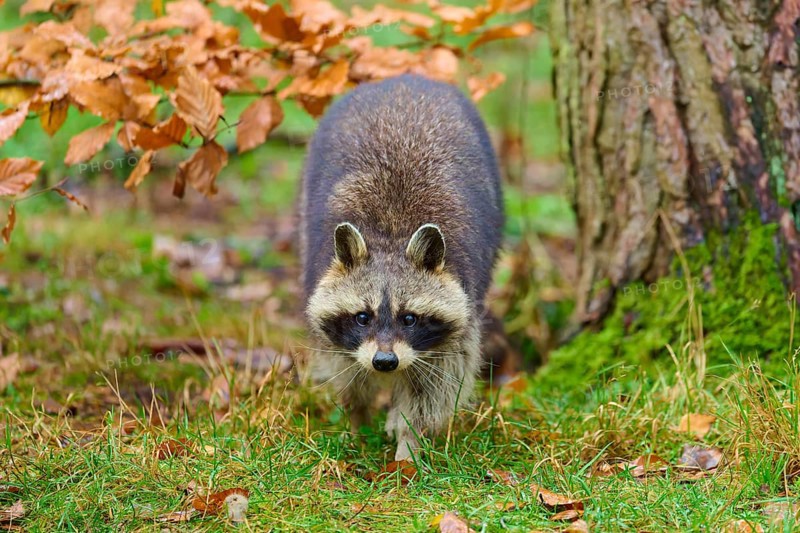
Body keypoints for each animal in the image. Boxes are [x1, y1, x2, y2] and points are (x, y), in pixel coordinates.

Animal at [299, 74, 503, 460]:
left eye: (409, 318)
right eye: (362, 316)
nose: (384, 362)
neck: (392, 236)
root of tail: (403, 79)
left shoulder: (460, 315)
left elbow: (437, 384)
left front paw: (408, 442)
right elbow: (346, 373)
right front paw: (356, 421)